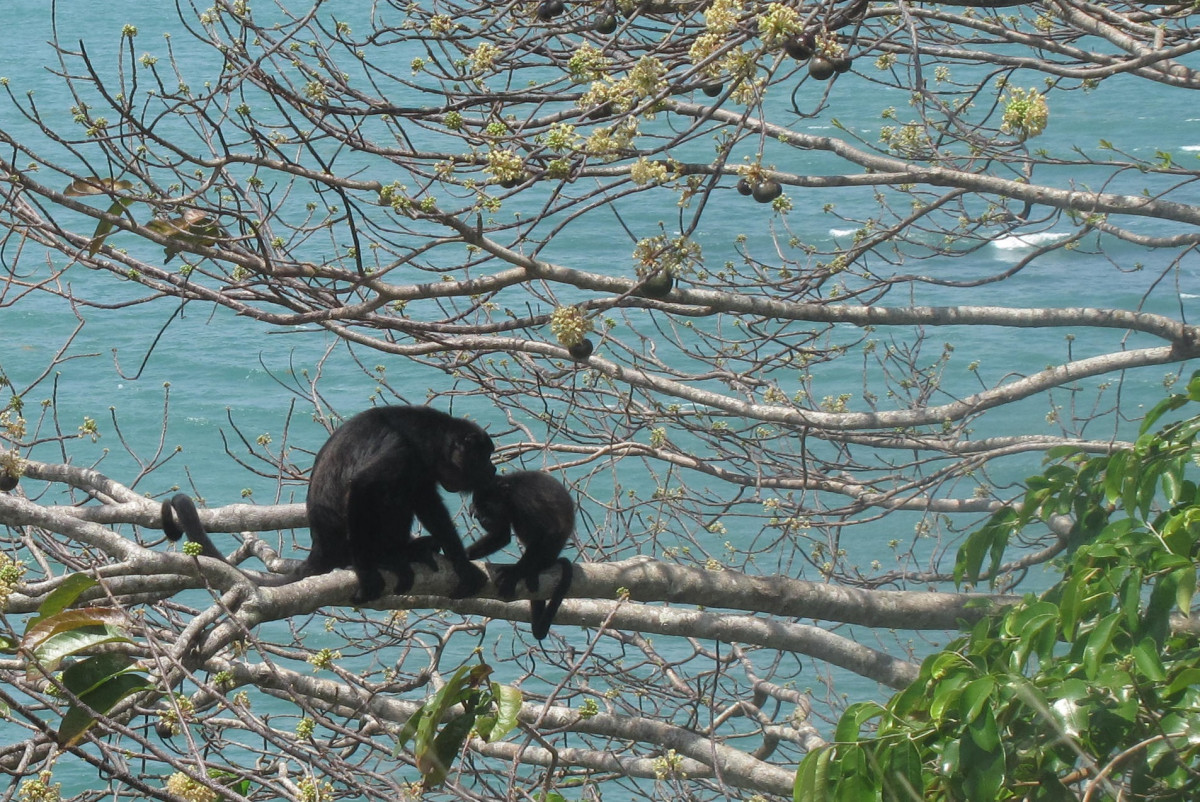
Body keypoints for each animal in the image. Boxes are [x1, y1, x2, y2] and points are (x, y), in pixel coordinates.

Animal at [163, 408, 492, 600]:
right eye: (483, 456)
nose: (493, 468)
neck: (430, 441)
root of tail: (321, 548)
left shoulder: (423, 469)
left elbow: (428, 503)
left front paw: (462, 563)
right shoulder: (401, 450)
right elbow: (362, 486)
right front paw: (368, 573)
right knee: (386, 496)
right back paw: (389, 556)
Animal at [465, 470, 573, 638]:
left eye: (487, 507)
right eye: (478, 512)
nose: (482, 518)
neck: (508, 494)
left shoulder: (522, 499)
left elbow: (549, 530)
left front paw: (515, 572)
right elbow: (501, 536)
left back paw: (534, 569)